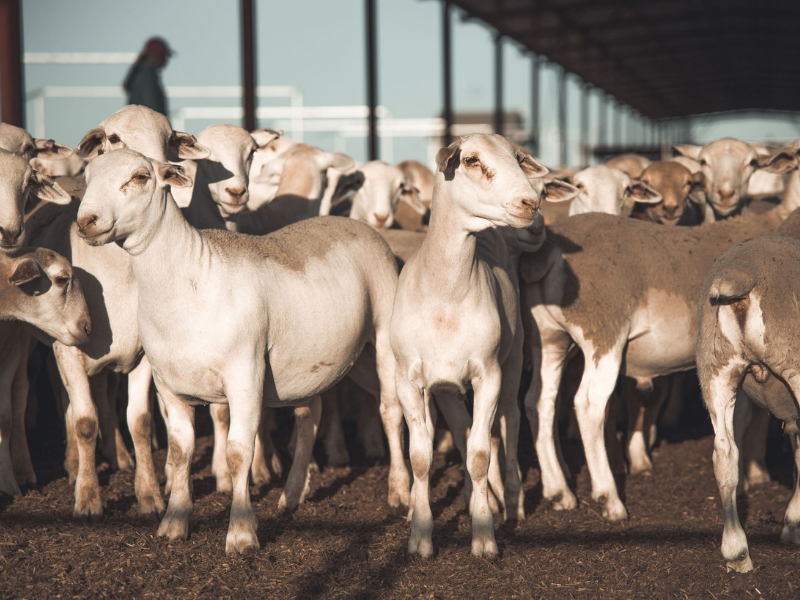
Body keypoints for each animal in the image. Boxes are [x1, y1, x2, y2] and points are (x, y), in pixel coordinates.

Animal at [75, 148, 409, 555]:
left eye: (139, 177)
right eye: (87, 177)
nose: (86, 221)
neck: (187, 279)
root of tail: (356, 224)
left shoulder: (245, 373)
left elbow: (238, 453)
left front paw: (241, 534)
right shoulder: (167, 383)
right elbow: (180, 450)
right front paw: (174, 522)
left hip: (383, 340)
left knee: (390, 411)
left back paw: (400, 494)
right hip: (332, 360)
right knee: (310, 417)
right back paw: (293, 495)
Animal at [390, 133, 565, 558]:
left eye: (519, 158)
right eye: (471, 160)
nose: (530, 205)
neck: (445, 296)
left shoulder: (489, 374)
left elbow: (482, 455)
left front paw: (485, 536)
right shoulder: (408, 378)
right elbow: (421, 457)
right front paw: (420, 535)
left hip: (514, 358)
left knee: (511, 421)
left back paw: (511, 501)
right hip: (445, 386)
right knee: (461, 427)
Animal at [518, 150, 800, 522]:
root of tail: (550, 248)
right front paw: (755, 477)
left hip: (548, 337)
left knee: (539, 402)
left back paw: (559, 491)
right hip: (604, 332)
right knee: (590, 404)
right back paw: (610, 499)